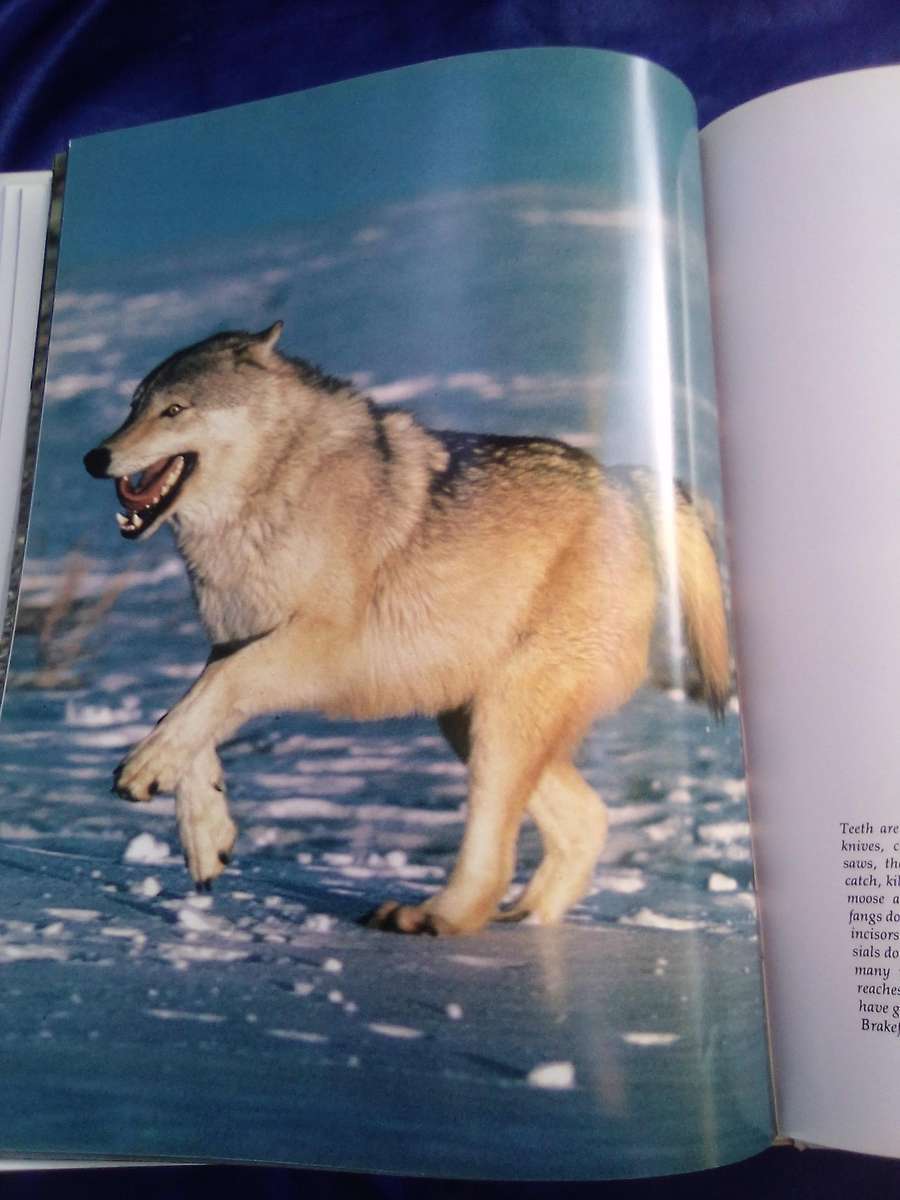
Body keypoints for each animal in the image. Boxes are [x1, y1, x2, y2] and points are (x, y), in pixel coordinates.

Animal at [83, 323, 730, 935]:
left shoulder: (315, 648)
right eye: (134, 406)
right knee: (587, 821)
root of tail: (629, 484)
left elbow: (213, 693)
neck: (280, 488)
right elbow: (189, 715)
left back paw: (432, 918)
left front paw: (143, 769)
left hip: (502, 718)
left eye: (175, 410)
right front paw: (203, 834)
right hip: (468, 722)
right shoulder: (230, 641)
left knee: (498, 855)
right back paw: (523, 921)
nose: (95, 458)